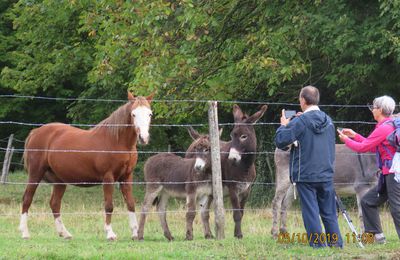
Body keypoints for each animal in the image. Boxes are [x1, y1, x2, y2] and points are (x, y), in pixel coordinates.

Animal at [20, 92, 155, 241]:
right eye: (133, 114)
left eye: (149, 114)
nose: (143, 138)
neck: (117, 142)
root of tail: (36, 132)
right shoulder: (108, 178)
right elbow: (109, 205)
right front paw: (110, 233)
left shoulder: (126, 177)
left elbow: (130, 203)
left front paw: (135, 233)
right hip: (35, 174)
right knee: (27, 199)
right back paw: (25, 233)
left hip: (59, 180)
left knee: (55, 203)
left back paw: (64, 233)